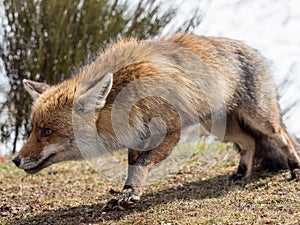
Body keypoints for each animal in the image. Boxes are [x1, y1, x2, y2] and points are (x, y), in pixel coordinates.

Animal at [12, 33, 298, 209]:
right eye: (34, 129)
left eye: (47, 132)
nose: (15, 160)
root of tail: (249, 47)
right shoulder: (135, 138)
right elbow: (132, 166)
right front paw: (127, 192)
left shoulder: (172, 131)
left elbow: (142, 164)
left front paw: (130, 193)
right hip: (220, 129)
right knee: (250, 142)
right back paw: (241, 173)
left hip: (260, 119)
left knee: (281, 135)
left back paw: (294, 167)